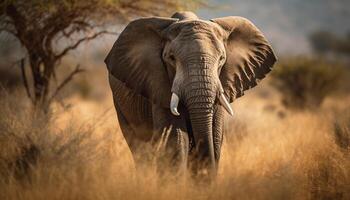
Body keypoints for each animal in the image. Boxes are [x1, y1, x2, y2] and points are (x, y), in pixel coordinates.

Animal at [104, 11, 276, 177]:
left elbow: (215, 135)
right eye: (171, 58)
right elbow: (175, 140)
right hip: (120, 106)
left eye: (222, 58)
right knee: (141, 151)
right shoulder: (159, 86)